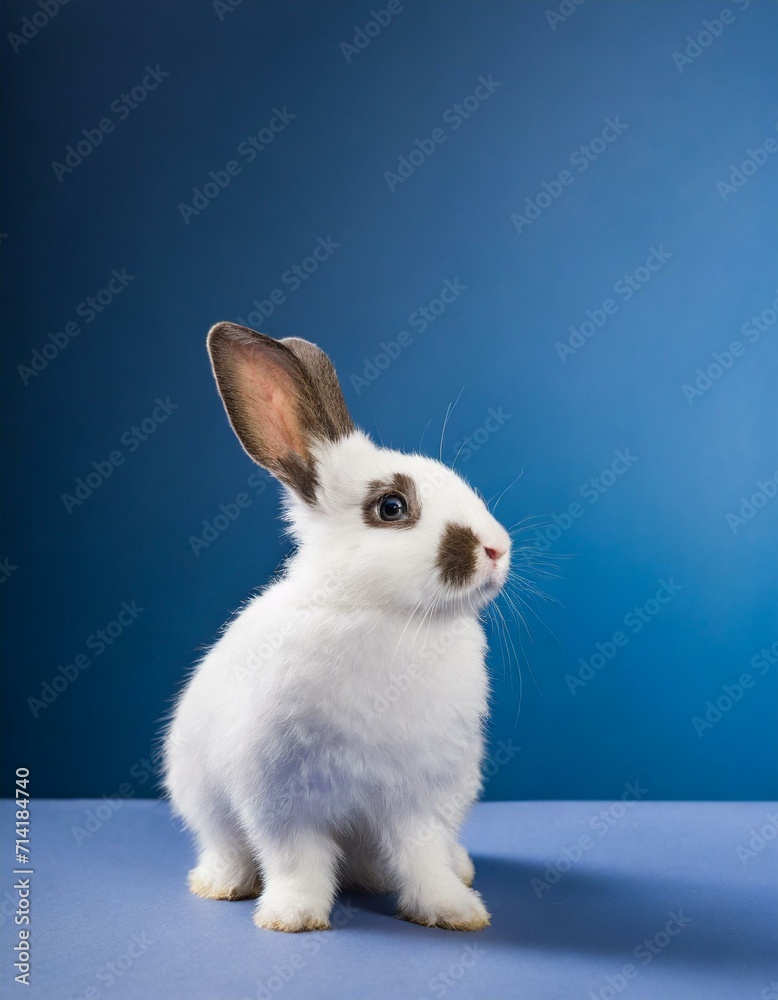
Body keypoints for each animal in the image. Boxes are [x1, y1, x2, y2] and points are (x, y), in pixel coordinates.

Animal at [164, 324, 510, 932]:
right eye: (391, 507)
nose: (498, 549)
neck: (386, 614)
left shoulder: (422, 798)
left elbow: (422, 859)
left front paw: (454, 910)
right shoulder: (278, 797)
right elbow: (295, 859)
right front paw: (291, 917)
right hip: (201, 799)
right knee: (227, 848)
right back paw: (220, 885)